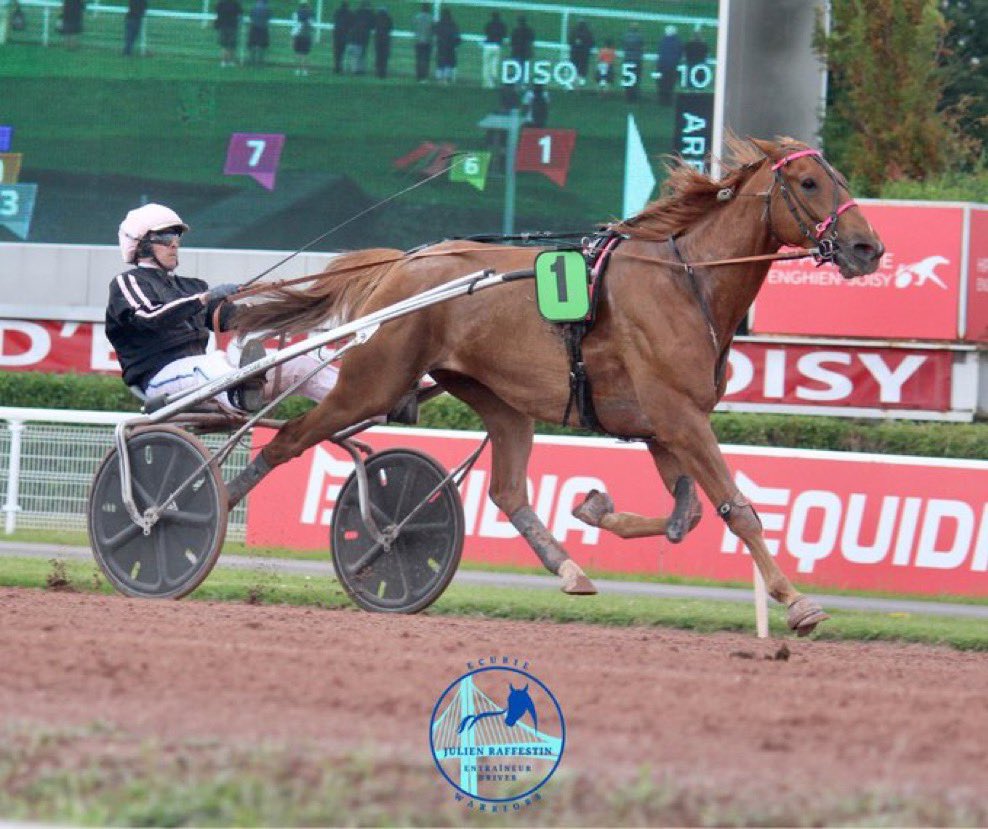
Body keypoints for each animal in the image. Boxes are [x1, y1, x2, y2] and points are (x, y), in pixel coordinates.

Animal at [231, 136, 885, 636]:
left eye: (837, 178)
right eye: (808, 183)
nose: (868, 247)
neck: (686, 282)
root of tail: (402, 263)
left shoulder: (663, 425)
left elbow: (687, 516)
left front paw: (595, 507)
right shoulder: (679, 417)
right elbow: (736, 510)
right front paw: (796, 601)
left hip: (497, 400)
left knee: (507, 491)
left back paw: (568, 568)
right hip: (372, 380)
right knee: (287, 438)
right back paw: (215, 496)